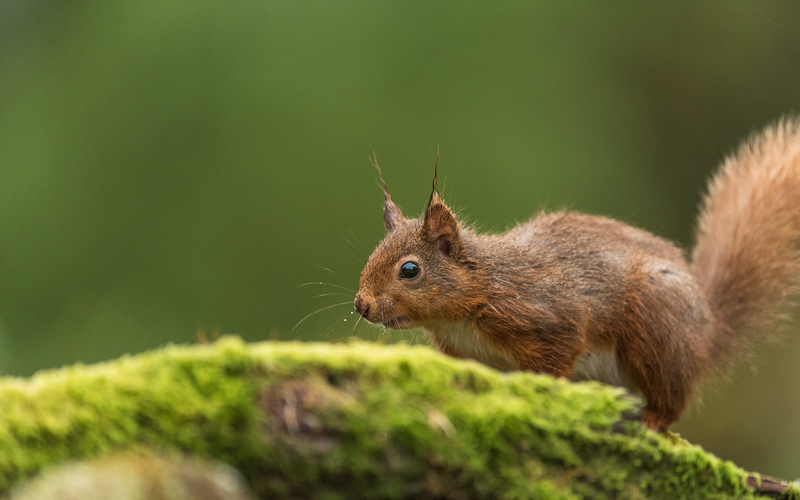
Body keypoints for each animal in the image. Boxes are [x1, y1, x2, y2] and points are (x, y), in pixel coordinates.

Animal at [354, 120, 800, 431]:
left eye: (410, 270)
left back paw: (652, 421)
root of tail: (709, 329)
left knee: (671, 398)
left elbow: (558, 357)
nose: (361, 304)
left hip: (655, 329)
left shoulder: (547, 317)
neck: (482, 290)